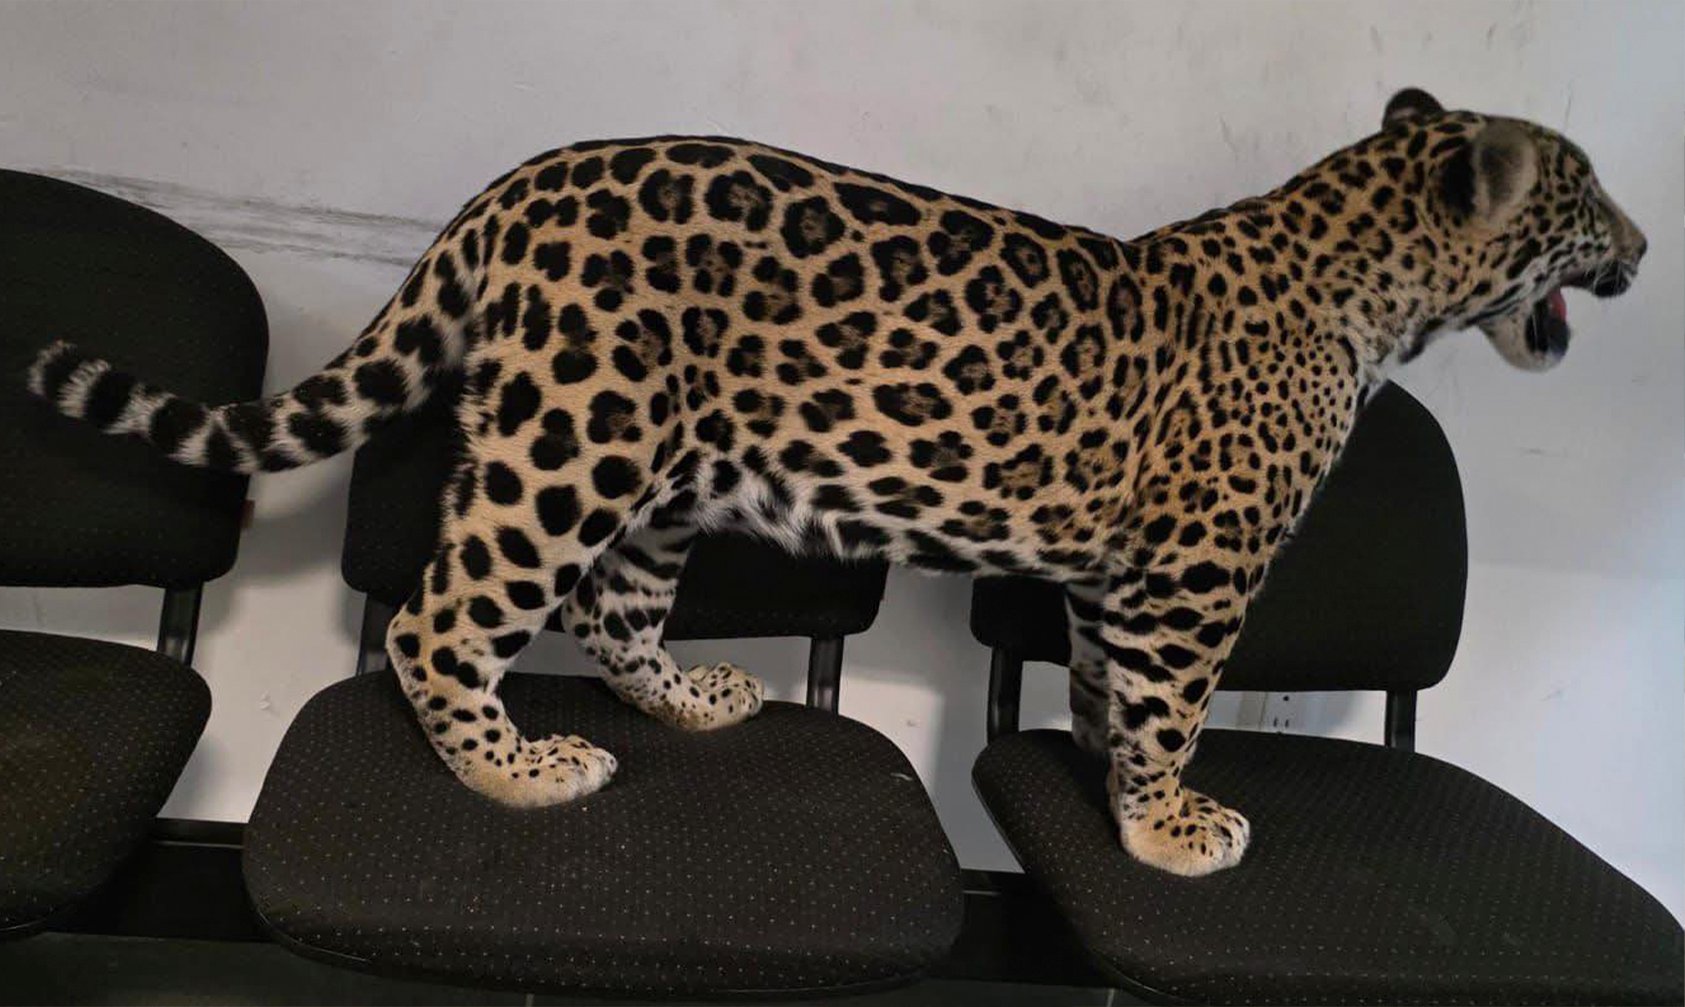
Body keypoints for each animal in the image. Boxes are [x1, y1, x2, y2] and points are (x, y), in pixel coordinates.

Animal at [28, 87, 1646, 876]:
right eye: (1585, 202)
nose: (1641, 247)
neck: (1367, 285)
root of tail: (515, 184)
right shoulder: (1198, 572)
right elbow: (1174, 703)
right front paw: (1171, 826)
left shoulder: (1124, 573)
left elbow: (1106, 681)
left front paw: (1108, 771)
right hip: (574, 439)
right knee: (445, 617)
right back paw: (516, 767)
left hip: (659, 471)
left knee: (615, 613)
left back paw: (687, 698)